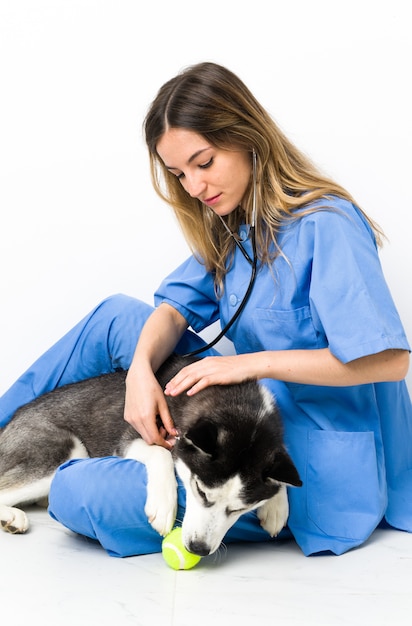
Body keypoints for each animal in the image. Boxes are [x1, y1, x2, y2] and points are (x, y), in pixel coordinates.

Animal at [0, 354, 302, 552]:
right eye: (200, 492)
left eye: (240, 509)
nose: (198, 548)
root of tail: (10, 421)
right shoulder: (134, 436)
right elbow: (161, 453)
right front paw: (163, 505)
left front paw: (276, 506)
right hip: (64, 449)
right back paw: (12, 517)